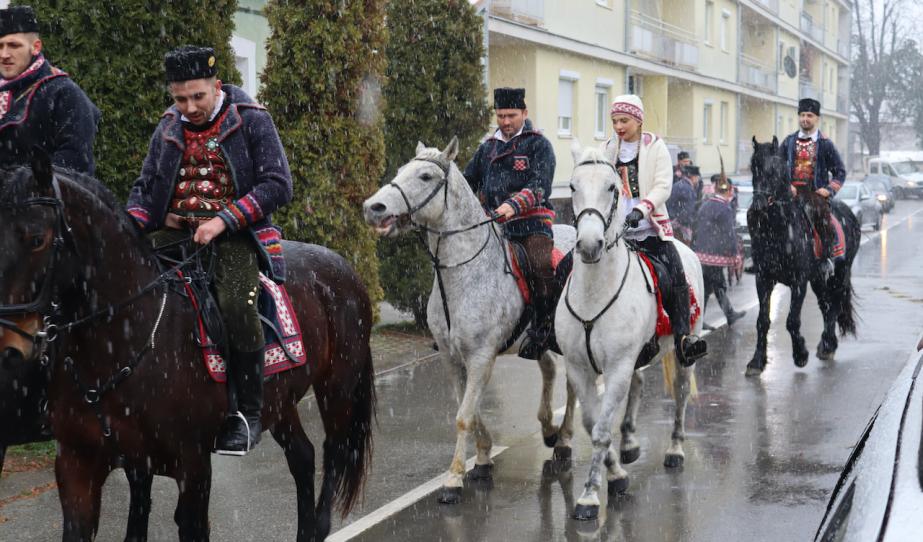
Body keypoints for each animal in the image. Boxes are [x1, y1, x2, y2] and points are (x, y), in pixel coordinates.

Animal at [0, 155, 376, 540]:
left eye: (37, 239)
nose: (10, 345)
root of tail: (343, 266)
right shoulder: (81, 465)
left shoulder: (192, 466)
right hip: (280, 402)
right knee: (302, 456)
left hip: (337, 387)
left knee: (336, 450)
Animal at [362, 138, 572, 504]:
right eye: (401, 170)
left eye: (426, 176)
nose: (373, 207)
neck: (464, 272)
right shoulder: (453, 357)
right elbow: (468, 410)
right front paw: (483, 459)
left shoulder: (480, 357)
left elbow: (464, 416)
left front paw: (454, 479)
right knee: (549, 369)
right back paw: (548, 429)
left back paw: (564, 440)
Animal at [552, 143, 704, 524]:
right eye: (572, 186)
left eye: (612, 187)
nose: (589, 244)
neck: (594, 292)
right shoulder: (580, 368)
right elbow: (593, 424)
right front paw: (616, 475)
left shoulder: (617, 367)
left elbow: (601, 430)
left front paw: (589, 496)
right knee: (639, 383)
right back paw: (631, 443)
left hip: (684, 351)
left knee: (680, 393)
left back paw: (675, 449)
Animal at [744, 139, 860, 378]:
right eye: (753, 167)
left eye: (776, 168)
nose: (758, 206)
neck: (778, 230)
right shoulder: (763, 279)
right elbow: (762, 321)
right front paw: (756, 361)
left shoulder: (799, 282)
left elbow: (792, 320)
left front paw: (800, 355)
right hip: (818, 279)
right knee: (826, 305)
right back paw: (828, 345)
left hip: (841, 273)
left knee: (835, 304)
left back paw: (826, 345)